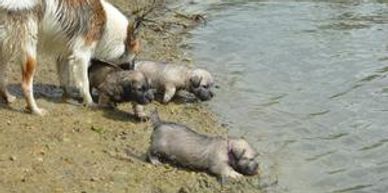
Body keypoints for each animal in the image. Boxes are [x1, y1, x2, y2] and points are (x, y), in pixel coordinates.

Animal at [0, 0, 142, 114]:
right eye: (136, 54)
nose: (133, 71)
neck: (106, 25)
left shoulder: (64, 55)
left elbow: (65, 79)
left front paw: (69, 94)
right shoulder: (81, 56)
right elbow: (85, 83)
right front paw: (90, 102)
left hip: (6, 50)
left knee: (2, 77)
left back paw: (8, 97)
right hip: (29, 52)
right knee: (25, 85)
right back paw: (35, 110)